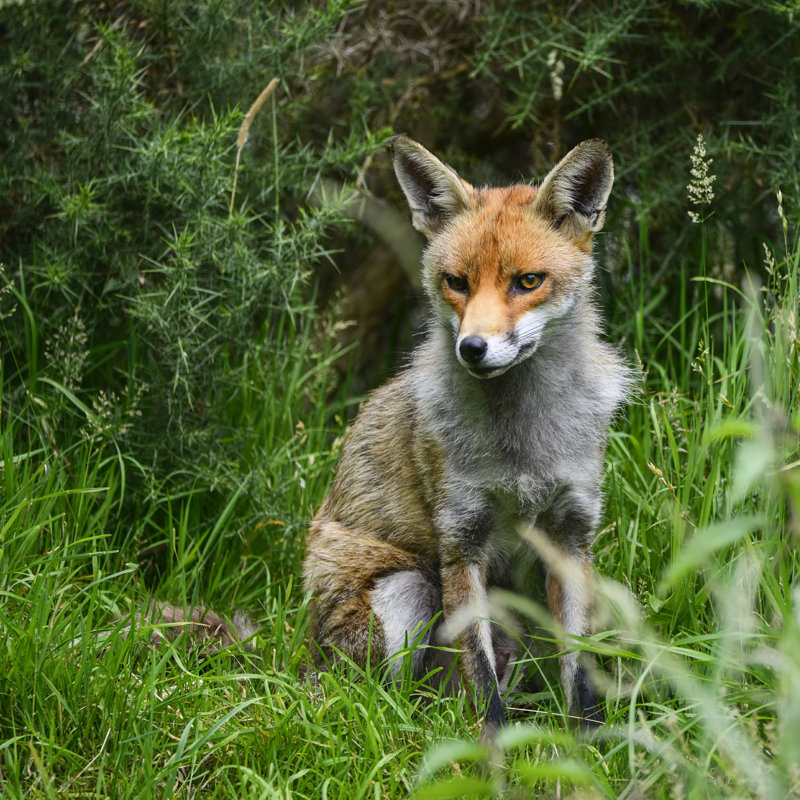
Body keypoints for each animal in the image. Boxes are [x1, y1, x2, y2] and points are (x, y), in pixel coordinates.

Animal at [302, 135, 630, 730]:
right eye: (457, 283)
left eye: (528, 281)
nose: (472, 348)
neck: (521, 447)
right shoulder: (462, 539)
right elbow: (479, 675)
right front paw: (494, 747)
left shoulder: (571, 534)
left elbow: (579, 671)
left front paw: (591, 743)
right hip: (405, 594)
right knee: (382, 701)